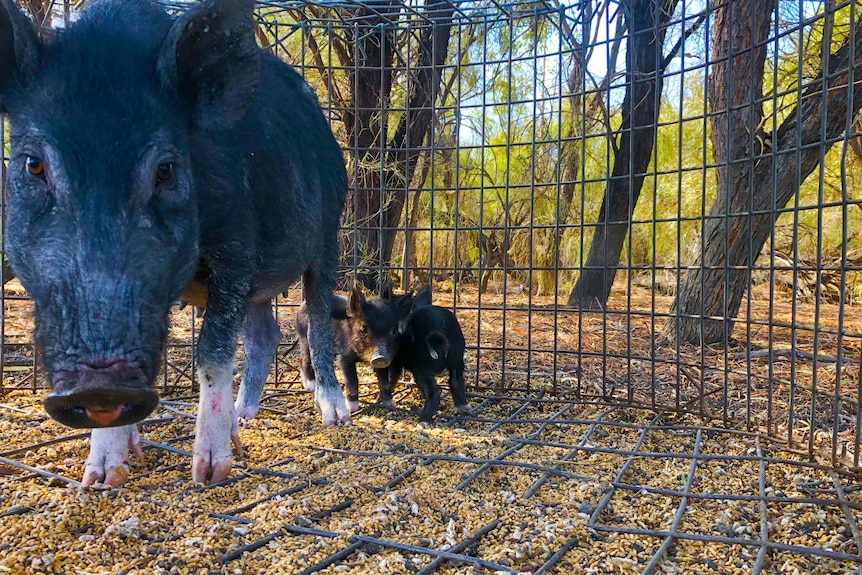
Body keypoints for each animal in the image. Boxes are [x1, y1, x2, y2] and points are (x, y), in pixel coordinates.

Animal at [0, 0, 352, 486]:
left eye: (165, 169)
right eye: (33, 164)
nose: (98, 383)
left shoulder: (237, 245)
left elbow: (213, 351)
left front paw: (210, 473)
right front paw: (102, 478)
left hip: (328, 234)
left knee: (316, 319)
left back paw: (334, 416)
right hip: (261, 284)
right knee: (264, 335)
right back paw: (245, 416)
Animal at [296, 284, 416, 412]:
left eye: (394, 330)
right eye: (364, 328)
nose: (380, 357)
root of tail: (303, 304)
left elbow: (384, 381)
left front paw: (390, 405)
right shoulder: (344, 356)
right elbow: (352, 380)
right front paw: (352, 410)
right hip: (305, 339)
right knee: (304, 360)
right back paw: (310, 386)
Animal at [380, 288, 472, 424]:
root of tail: (441, 329)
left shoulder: (395, 359)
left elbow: (391, 378)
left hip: (422, 367)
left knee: (435, 390)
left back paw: (423, 420)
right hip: (457, 357)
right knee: (455, 380)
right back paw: (464, 408)